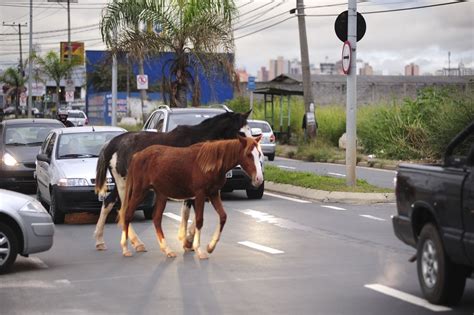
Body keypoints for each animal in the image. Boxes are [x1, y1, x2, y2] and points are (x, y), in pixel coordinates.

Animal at [94, 111, 254, 252]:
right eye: (241, 133)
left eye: (250, 130)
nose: (252, 149)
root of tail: (111, 144)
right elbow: (192, 213)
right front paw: (187, 240)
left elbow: (188, 212)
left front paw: (186, 240)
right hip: (125, 184)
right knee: (124, 208)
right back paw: (135, 242)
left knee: (108, 202)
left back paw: (100, 240)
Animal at [116, 137, 262, 260]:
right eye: (249, 154)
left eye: (259, 154)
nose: (259, 179)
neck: (210, 163)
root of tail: (138, 155)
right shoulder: (200, 194)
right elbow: (199, 220)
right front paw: (199, 249)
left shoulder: (213, 193)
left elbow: (223, 216)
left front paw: (210, 246)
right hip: (140, 192)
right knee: (127, 215)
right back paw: (125, 248)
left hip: (161, 194)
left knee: (156, 218)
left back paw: (167, 249)